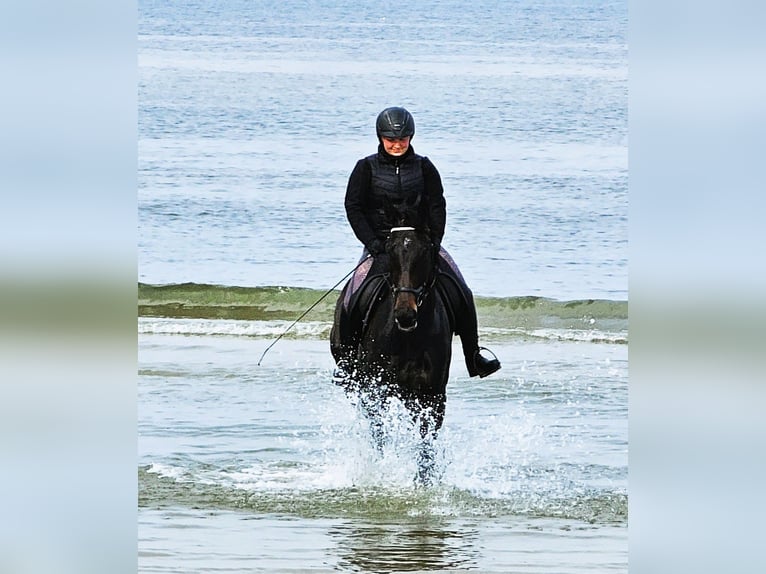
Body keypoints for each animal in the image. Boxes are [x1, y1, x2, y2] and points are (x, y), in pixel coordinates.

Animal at [332, 226, 456, 486]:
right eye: (390, 253)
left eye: (424, 253)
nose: (405, 313)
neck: (409, 338)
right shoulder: (374, 391)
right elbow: (378, 433)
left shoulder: (433, 396)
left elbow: (426, 441)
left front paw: (424, 481)